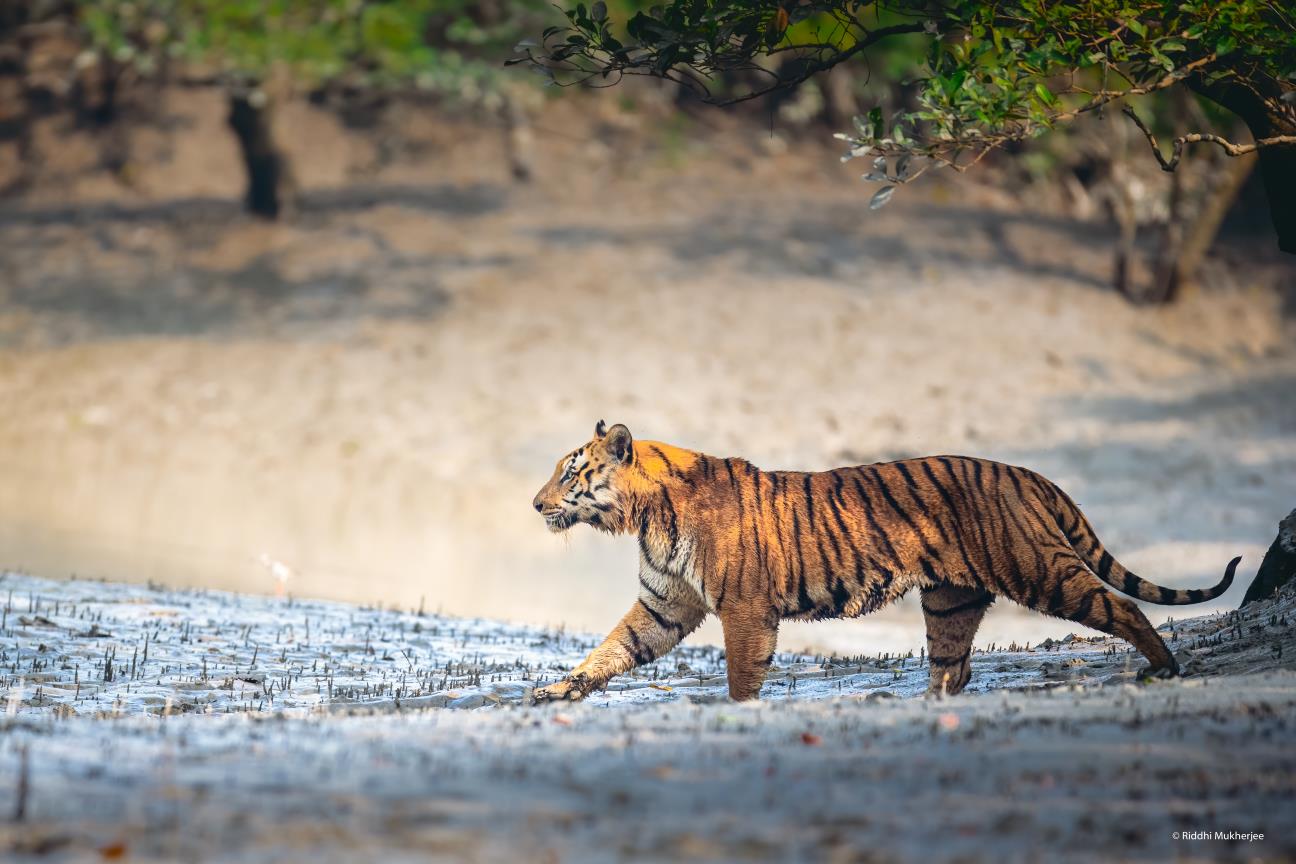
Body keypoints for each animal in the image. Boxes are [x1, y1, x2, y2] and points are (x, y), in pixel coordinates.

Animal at [531, 424, 1238, 704]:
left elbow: (740, 675)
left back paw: (1165, 668)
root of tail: (1027, 473)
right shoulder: (665, 604)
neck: (642, 517)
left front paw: (739, 710)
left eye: (570, 472)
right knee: (954, 666)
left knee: (1120, 604)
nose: (535, 504)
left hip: (1038, 568)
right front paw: (557, 690)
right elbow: (612, 648)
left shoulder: (744, 608)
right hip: (950, 598)